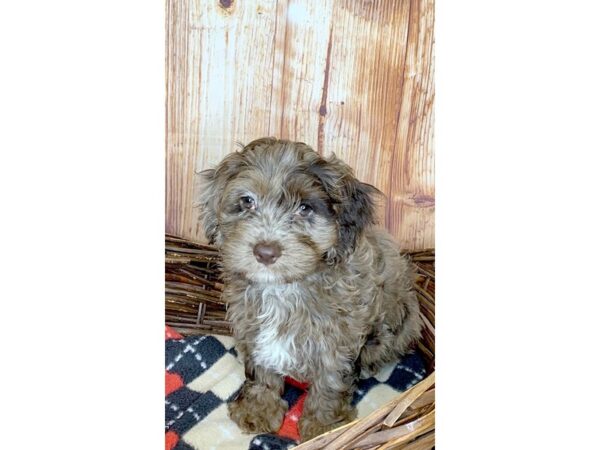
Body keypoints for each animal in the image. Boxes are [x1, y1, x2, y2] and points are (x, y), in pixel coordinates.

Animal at [198, 137, 422, 440]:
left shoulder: (339, 338)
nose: (265, 252)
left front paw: (324, 426)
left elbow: (330, 381)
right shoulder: (250, 327)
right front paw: (257, 409)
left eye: (304, 208)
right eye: (247, 201)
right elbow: (260, 371)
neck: (285, 288)